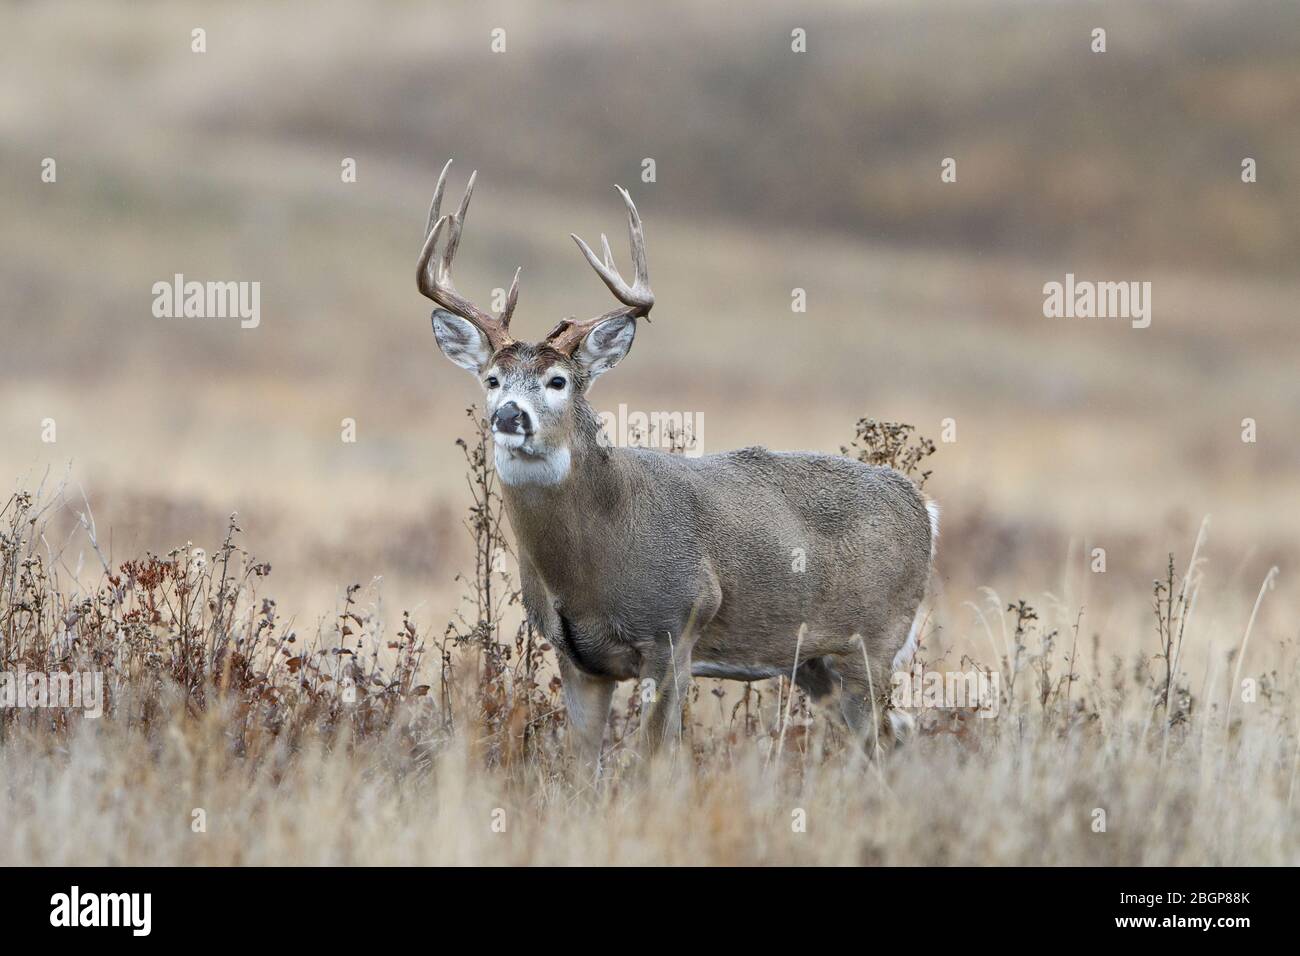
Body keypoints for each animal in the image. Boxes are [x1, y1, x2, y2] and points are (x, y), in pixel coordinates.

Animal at [418, 160, 938, 776]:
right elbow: (582, 768)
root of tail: (923, 507)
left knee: (886, 735)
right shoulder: (576, 658)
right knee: (890, 735)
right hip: (814, 660)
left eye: (558, 380)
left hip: (874, 639)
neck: (591, 556)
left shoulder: (676, 630)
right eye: (492, 379)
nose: (508, 415)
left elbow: (652, 762)